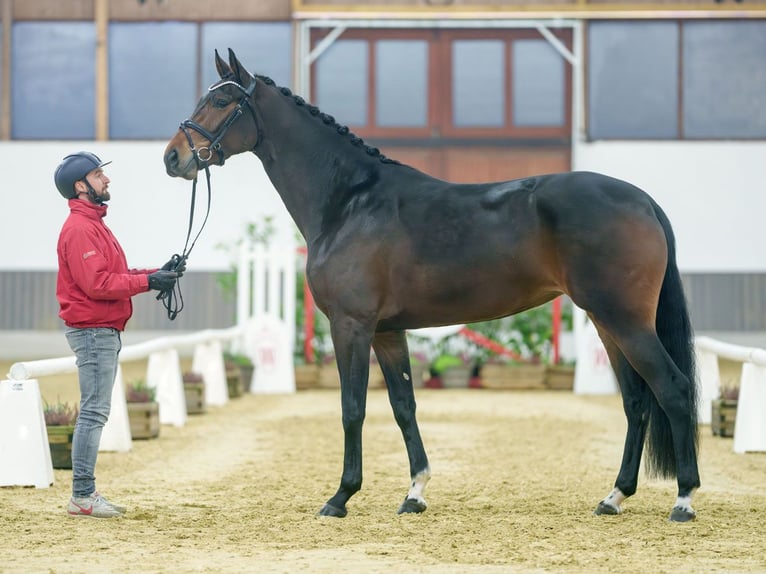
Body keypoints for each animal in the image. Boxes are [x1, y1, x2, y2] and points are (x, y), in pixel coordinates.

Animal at [164, 49, 704, 524]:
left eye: (222, 100)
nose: (173, 158)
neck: (349, 201)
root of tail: (642, 201)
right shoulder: (387, 332)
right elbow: (404, 406)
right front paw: (415, 493)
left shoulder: (351, 326)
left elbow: (352, 408)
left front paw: (340, 497)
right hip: (608, 323)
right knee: (636, 402)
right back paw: (614, 497)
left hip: (625, 321)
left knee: (673, 389)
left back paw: (683, 500)